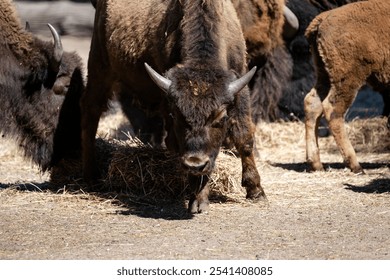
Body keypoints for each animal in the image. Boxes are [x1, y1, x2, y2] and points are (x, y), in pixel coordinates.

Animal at [304, 0, 390, 173]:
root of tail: (322, 18)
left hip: (324, 73)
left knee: (313, 103)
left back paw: (316, 164)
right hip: (349, 79)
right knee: (333, 109)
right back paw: (355, 165)